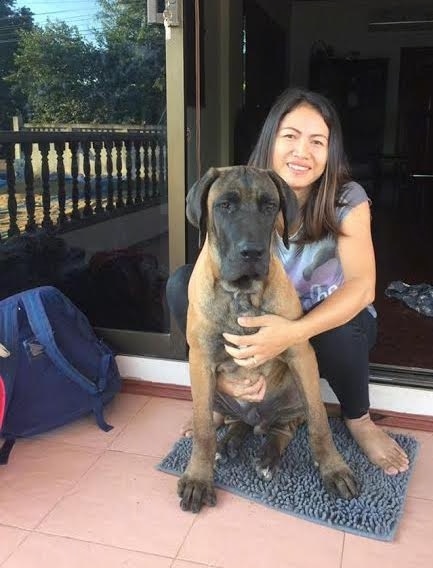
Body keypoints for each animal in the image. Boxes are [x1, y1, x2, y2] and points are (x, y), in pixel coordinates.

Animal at [179, 166, 358, 512]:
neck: (242, 294)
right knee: (236, 422)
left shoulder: (300, 354)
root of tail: (256, 417)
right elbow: (204, 429)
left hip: (292, 396)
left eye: (269, 206)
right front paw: (198, 478)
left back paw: (267, 455)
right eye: (225, 205)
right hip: (219, 395)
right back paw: (229, 442)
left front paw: (334, 468)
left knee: (282, 429)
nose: (252, 252)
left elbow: (319, 422)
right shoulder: (201, 361)